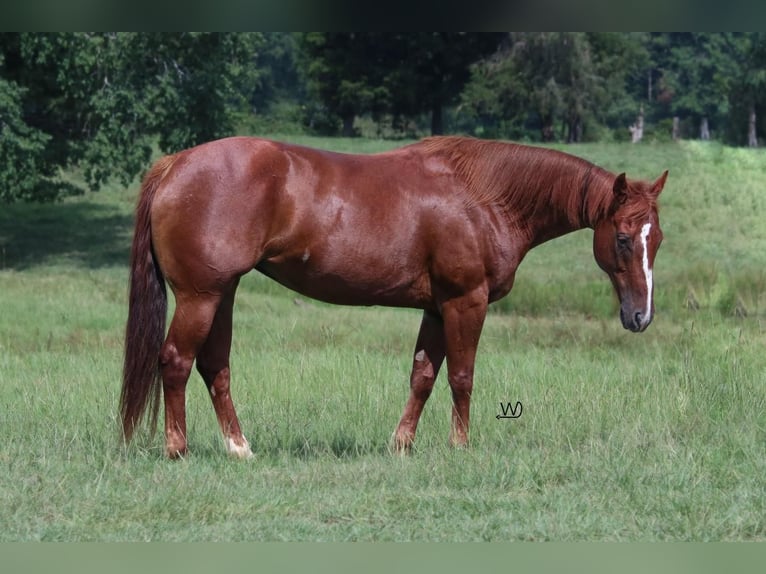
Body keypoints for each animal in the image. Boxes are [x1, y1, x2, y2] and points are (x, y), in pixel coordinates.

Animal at [118, 135, 664, 460]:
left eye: (655, 239)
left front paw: (402, 444)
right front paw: (460, 446)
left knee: (215, 367)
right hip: (200, 296)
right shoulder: (466, 301)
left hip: (222, 294)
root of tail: (174, 164)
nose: (640, 316)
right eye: (622, 239)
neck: (483, 195)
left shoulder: (437, 308)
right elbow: (462, 376)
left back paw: (240, 448)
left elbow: (423, 375)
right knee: (175, 361)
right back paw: (177, 449)